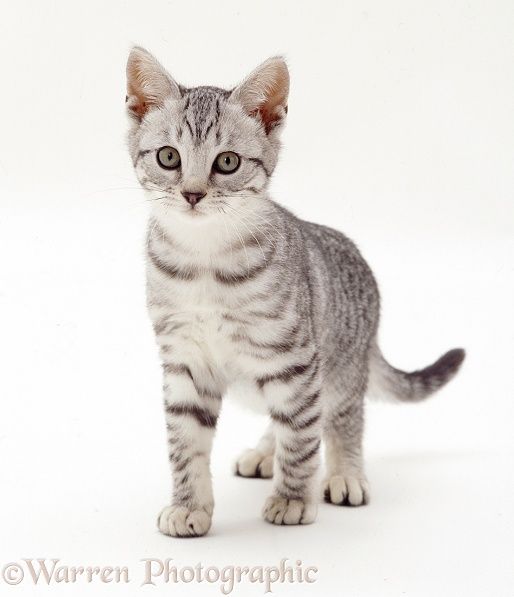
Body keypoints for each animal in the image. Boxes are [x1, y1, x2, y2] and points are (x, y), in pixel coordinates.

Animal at [125, 49, 464, 536]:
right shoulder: (184, 361)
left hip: (338, 367)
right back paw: (265, 452)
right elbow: (185, 443)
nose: (192, 194)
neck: (205, 260)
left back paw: (344, 472)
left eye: (227, 162)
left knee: (335, 418)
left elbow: (302, 438)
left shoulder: (293, 357)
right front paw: (189, 505)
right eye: (169, 157)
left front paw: (292, 498)